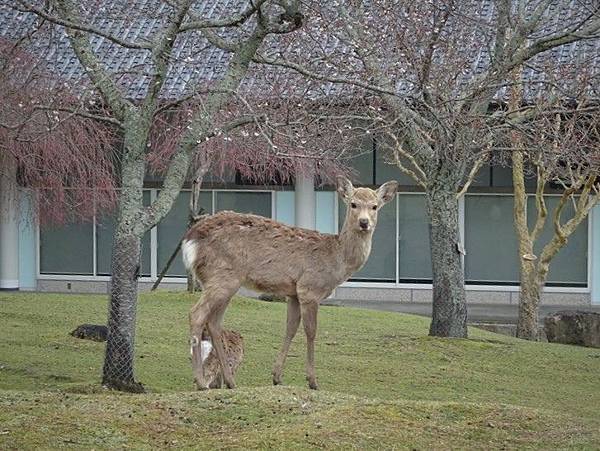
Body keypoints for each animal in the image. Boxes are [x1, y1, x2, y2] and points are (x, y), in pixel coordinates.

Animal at [183, 178, 398, 390]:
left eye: (374, 206)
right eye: (353, 204)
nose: (364, 222)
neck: (336, 261)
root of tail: (190, 241)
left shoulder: (293, 293)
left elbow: (291, 328)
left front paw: (277, 377)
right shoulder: (309, 288)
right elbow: (311, 331)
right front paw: (312, 381)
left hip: (225, 281)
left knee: (214, 322)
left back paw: (230, 381)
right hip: (222, 275)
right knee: (197, 314)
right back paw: (201, 382)